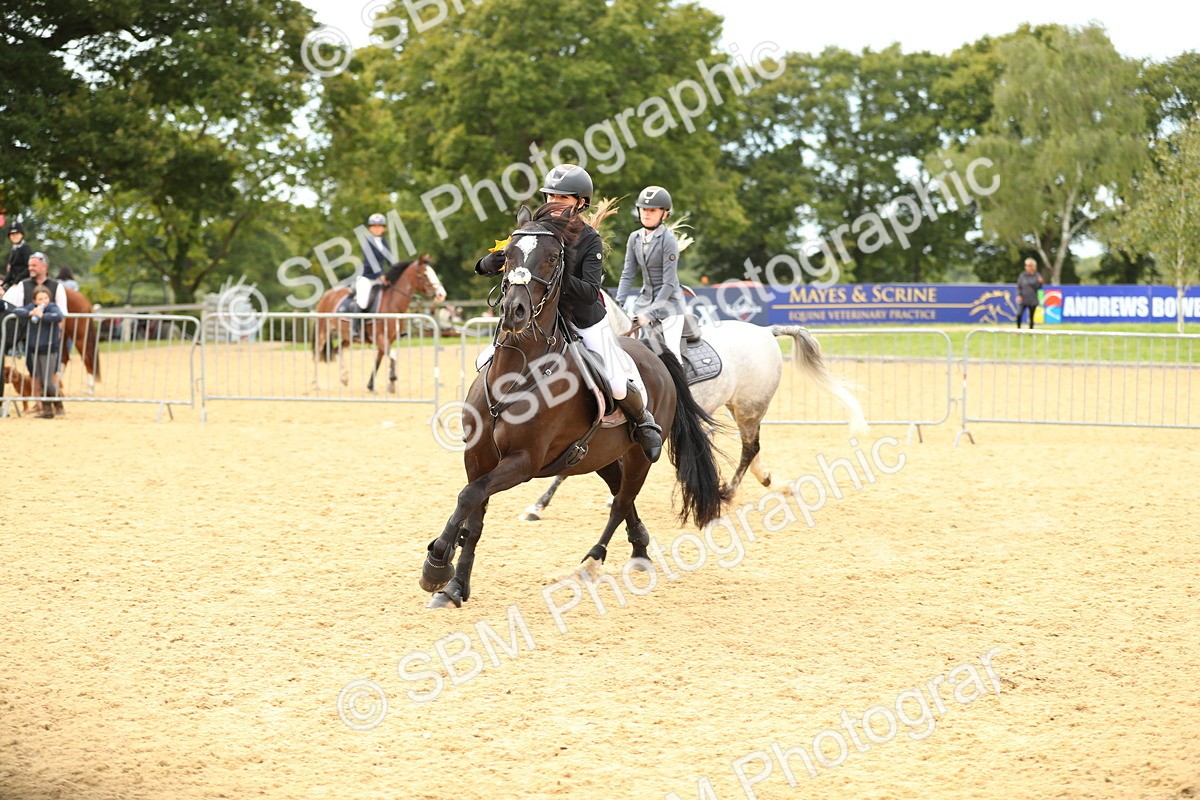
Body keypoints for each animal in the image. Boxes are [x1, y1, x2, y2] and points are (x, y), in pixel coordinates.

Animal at [312, 255, 446, 392]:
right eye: (424, 274)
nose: (441, 295)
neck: (392, 303)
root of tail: (327, 294)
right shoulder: (381, 338)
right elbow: (393, 356)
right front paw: (392, 380)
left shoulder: (388, 340)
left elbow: (379, 361)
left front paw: (373, 385)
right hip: (322, 332)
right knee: (317, 354)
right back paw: (316, 384)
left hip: (348, 337)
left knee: (337, 350)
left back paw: (344, 378)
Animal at [419, 203, 731, 609]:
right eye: (508, 256)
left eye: (553, 258)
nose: (515, 311)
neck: (516, 372)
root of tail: (654, 354)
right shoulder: (478, 457)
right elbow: (472, 515)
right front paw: (454, 586)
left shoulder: (523, 461)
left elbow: (469, 496)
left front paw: (437, 564)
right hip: (599, 455)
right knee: (620, 494)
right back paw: (640, 550)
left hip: (639, 454)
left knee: (621, 501)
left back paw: (593, 561)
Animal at [518, 294, 869, 520]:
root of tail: (765, 332)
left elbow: (569, 468)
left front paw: (537, 505)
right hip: (736, 407)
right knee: (753, 451)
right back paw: (773, 482)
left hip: (750, 407)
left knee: (749, 449)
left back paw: (727, 492)